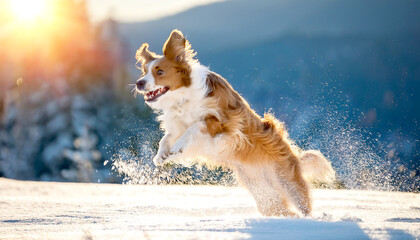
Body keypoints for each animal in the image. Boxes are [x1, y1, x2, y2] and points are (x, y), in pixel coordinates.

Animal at [135, 29, 334, 217]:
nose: (138, 83)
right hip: (264, 193)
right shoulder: (178, 126)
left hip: (288, 183)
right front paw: (162, 155)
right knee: (278, 210)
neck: (183, 97)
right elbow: (167, 138)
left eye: (160, 72)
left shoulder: (227, 122)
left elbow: (197, 125)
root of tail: (295, 157)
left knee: (303, 207)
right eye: (144, 72)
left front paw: (177, 147)